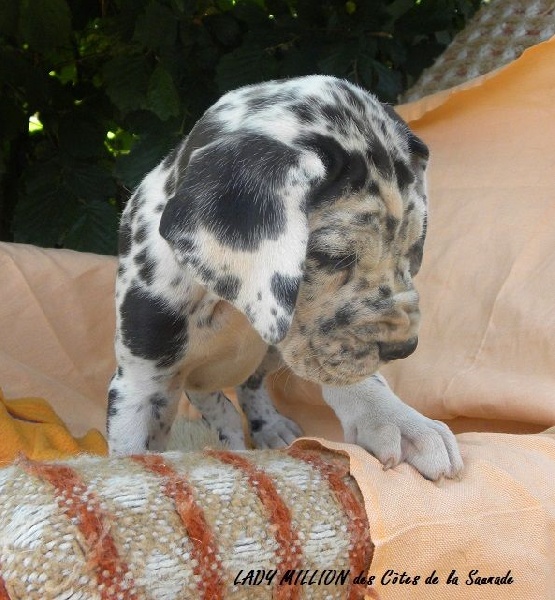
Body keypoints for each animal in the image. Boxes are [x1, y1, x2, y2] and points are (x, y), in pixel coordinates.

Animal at [107, 75, 463, 480]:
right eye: (333, 257)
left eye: (413, 249)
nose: (403, 348)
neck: (228, 305)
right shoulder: (141, 383)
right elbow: (133, 453)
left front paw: (400, 421)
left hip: (268, 358)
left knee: (247, 386)